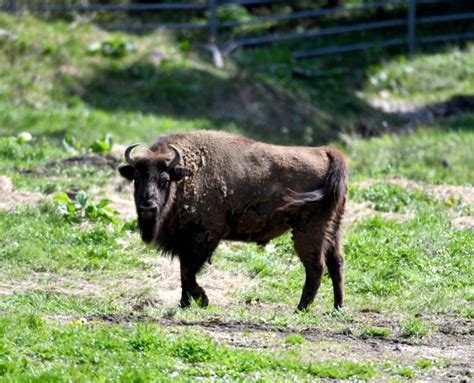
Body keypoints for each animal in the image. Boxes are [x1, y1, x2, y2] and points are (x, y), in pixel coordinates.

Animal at [118, 132, 348, 312]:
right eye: (136, 180)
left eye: (164, 180)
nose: (147, 208)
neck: (186, 175)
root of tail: (326, 152)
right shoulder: (185, 242)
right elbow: (184, 271)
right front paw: (184, 304)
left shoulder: (204, 236)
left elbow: (189, 271)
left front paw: (203, 300)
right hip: (333, 228)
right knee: (336, 263)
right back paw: (337, 307)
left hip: (307, 230)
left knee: (316, 267)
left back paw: (300, 309)